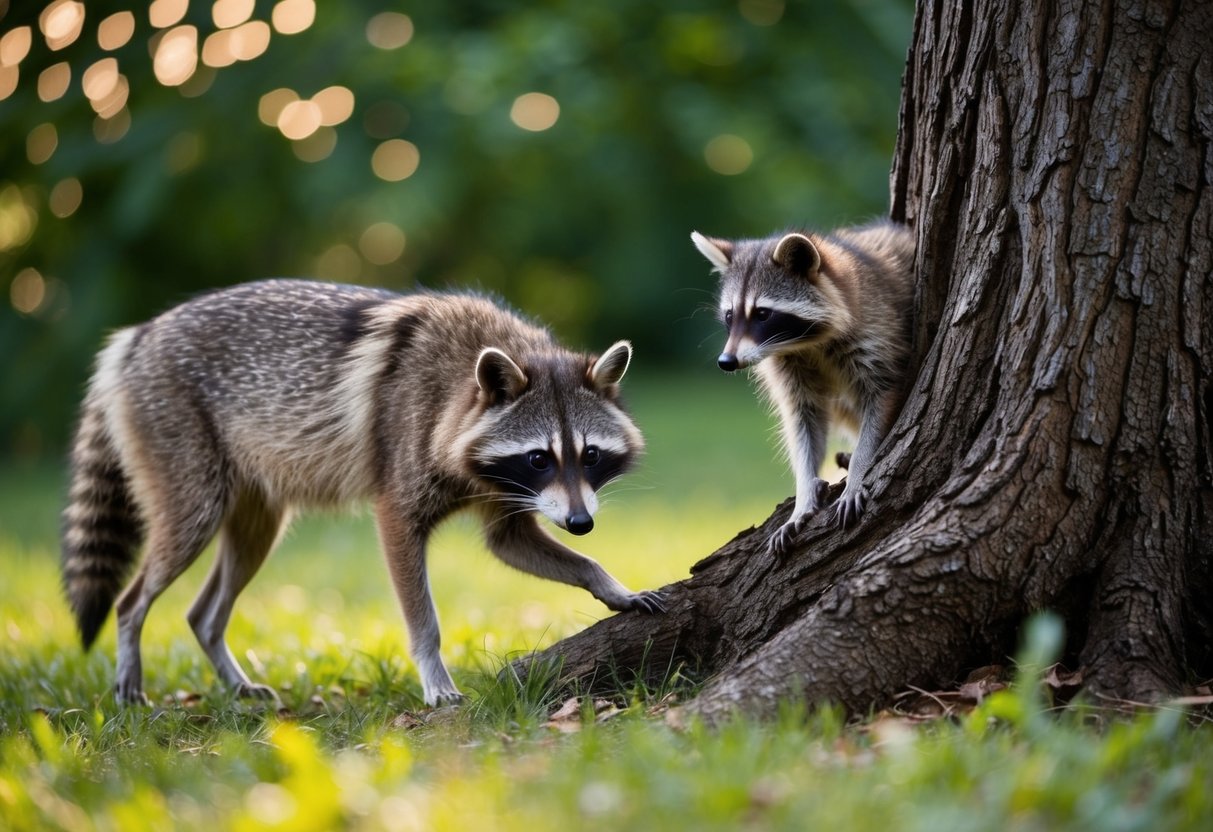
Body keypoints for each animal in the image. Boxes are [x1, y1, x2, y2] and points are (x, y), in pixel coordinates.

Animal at [61, 280, 663, 707]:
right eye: (540, 458)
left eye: (590, 456)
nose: (582, 523)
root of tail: (140, 334)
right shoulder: (401, 489)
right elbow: (421, 610)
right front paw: (432, 669)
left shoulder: (510, 499)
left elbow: (515, 543)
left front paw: (605, 580)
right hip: (189, 480)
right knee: (138, 591)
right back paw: (131, 655)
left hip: (258, 510)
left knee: (206, 611)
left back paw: (228, 669)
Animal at [691, 220, 914, 554]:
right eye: (730, 316)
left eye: (762, 314)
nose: (726, 362)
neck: (805, 343)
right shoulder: (788, 367)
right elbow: (803, 422)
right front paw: (804, 494)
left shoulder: (876, 328)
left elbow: (880, 399)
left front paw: (859, 471)